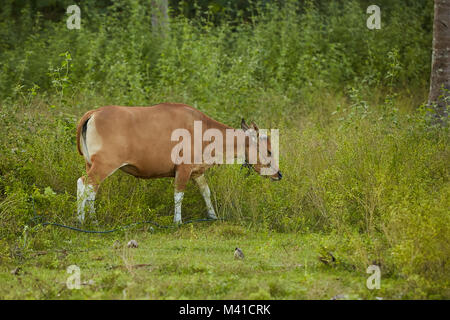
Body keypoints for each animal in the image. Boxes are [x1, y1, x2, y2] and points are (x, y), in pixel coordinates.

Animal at [77, 104, 282, 224]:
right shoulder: (182, 170)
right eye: (269, 151)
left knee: (91, 191)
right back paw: (82, 221)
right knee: (84, 184)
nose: (279, 174)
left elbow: (206, 192)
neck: (203, 129)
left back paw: (92, 220)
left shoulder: (197, 172)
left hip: (90, 164)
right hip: (104, 165)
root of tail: (94, 112)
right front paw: (177, 221)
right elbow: (178, 195)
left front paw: (213, 216)